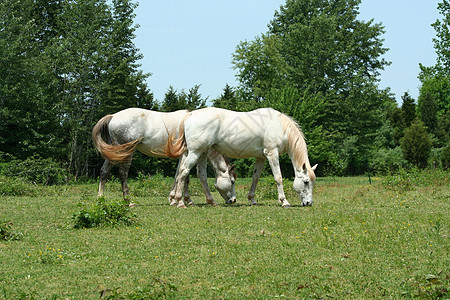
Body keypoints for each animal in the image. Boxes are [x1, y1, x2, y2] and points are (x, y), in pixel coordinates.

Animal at [92, 108, 237, 206]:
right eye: (232, 181)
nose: (233, 200)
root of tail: (113, 116)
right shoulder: (188, 154)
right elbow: (186, 176)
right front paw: (186, 200)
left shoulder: (183, 155)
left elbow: (179, 174)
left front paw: (174, 199)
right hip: (127, 152)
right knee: (122, 174)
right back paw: (129, 201)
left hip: (114, 153)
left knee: (104, 171)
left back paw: (100, 199)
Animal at [167, 108, 318, 209]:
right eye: (305, 182)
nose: (308, 203)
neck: (279, 125)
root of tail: (190, 115)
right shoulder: (272, 153)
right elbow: (278, 177)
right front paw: (284, 201)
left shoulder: (261, 157)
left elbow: (255, 177)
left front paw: (252, 200)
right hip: (195, 152)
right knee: (184, 172)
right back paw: (180, 202)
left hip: (199, 153)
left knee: (196, 174)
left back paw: (208, 201)